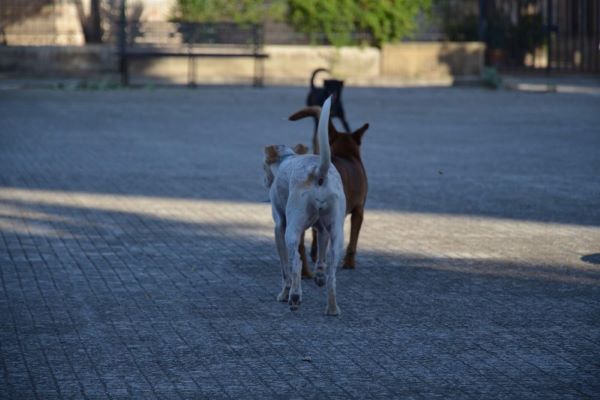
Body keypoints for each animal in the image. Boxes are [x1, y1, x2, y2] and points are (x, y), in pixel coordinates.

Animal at [264, 97, 344, 316]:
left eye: (263, 166)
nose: (265, 182)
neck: (287, 159)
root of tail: (318, 172)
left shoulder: (279, 227)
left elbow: (286, 269)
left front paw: (284, 294)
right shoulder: (322, 230)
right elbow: (320, 259)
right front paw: (318, 277)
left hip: (291, 232)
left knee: (297, 263)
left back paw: (294, 297)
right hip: (336, 234)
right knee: (332, 273)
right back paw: (332, 307)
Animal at [288, 106, 368, 276]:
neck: (346, 154)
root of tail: (319, 171)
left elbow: (315, 236)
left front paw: (315, 253)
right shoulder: (359, 211)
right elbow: (353, 241)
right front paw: (349, 263)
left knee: (299, 243)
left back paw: (305, 270)